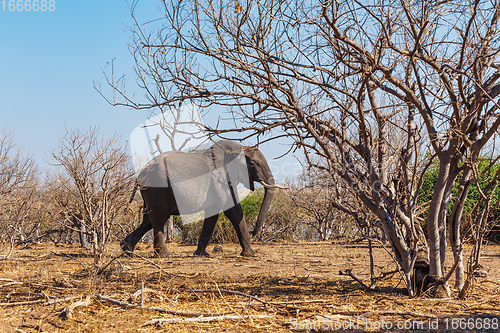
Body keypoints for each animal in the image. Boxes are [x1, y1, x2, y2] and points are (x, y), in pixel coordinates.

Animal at [119, 139, 284, 256]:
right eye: (254, 163)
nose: (254, 232)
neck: (238, 147)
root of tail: (139, 174)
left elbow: (213, 214)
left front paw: (202, 254)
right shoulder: (219, 177)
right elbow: (233, 210)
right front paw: (251, 254)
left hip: (150, 190)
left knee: (148, 219)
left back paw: (126, 248)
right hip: (157, 186)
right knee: (159, 217)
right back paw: (165, 255)